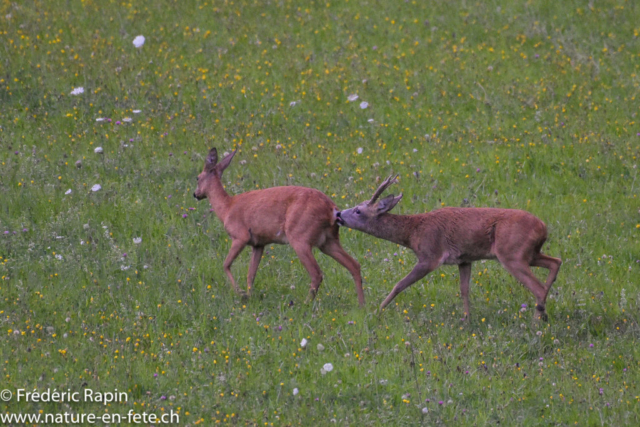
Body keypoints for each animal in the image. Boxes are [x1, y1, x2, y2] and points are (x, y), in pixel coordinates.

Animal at [191, 149, 364, 306]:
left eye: (198, 177)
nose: (195, 194)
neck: (227, 207)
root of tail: (332, 209)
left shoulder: (240, 235)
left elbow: (226, 264)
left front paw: (241, 294)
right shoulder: (259, 244)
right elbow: (250, 274)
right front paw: (249, 296)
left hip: (300, 237)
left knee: (317, 273)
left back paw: (305, 304)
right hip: (328, 240)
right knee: (354, 264)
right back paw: (362, 305)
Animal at [338, 176, 564, 320]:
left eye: (358, 210)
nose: (338, 214)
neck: (413, 233)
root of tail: (543, 227)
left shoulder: (429, 256)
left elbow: (400, 284)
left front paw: (377, 311)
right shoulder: (464, 259)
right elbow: (464, 290)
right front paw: (467, 319)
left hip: (512, 254)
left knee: (538, 286)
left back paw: (537, 320)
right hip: (530, 253)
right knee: (556, 262)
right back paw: (543, 312)